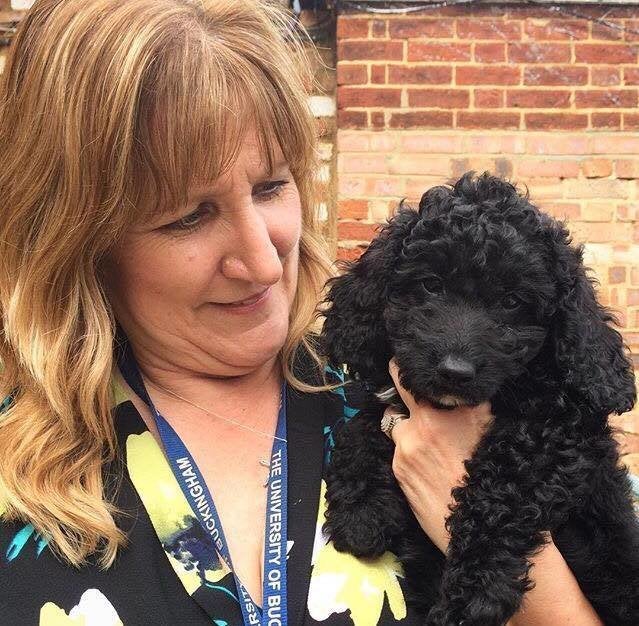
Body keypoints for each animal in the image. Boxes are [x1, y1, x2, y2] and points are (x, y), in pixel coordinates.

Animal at [320, 172, 639, 624]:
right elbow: (363, 424)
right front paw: (361, 510)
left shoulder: (560, 433)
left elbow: (501, 490)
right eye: (431, 285)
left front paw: (474, 593)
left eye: (511, 301)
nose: (454, 371)